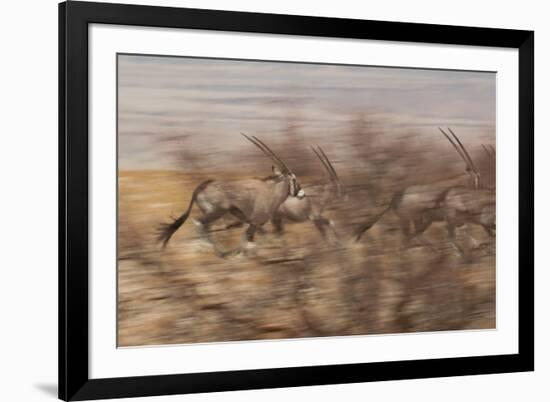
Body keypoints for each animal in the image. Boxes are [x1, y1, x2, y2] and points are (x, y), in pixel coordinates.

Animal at [157, 133, 306, 256]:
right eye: (294, 179)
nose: (302, 194)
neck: (272, 190)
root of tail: (201, 187)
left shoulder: (251, 222)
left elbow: (255, 239)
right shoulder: (255, 221)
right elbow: (250, 241)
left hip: (212, 214)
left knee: (206, 228)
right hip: (216, 212)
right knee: (199, 223)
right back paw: (212, 249)